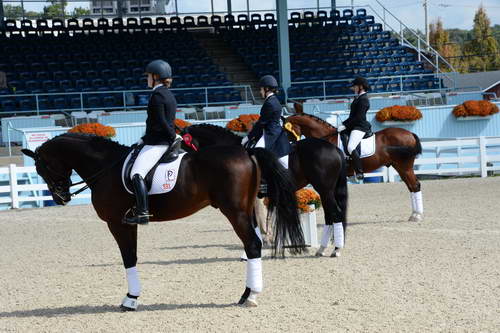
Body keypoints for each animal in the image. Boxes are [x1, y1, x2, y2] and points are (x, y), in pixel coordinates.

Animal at [21, 132, 304, 308]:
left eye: (41, 168)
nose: (60, 198)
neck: (105, 167)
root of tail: (247, 153)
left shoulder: (116, 223)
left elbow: (128, 258)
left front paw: (130, 299)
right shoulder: (127, 223)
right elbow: (132, 257)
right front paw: (133, 296)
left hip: (234, 211)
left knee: (253, 245)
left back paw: (250, 297)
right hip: (245, 209)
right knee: (253, 244)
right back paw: (248, 293)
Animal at [180, 124, 348, 256]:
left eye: (182, 147)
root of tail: (334, 148)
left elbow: (255, 224)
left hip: (325, 190)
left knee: (335, 215)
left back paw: (336, 250)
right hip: (326, 191)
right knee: (330, 216)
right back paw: (322, 249)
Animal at [284, 110, 424, 222]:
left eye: (286, 131)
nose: (289, 148)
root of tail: (410, 134)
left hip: (405, 166)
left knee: (415, 186)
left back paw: (417, 216)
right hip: (400, 167)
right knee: (411, 187)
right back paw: (414, 215)